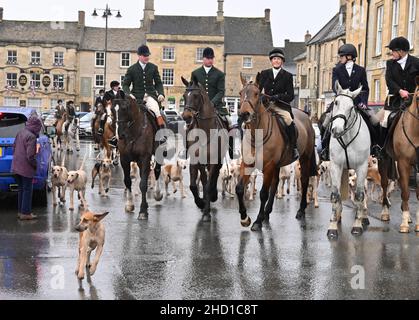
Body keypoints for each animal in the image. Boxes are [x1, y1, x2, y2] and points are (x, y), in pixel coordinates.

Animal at [180, 76, 230, 221]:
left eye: (196, 96)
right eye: (184, 95)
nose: (186, 116)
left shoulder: (213, 161)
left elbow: (207, 185)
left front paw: (207, 211)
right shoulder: (195, 161)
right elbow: (194, 185)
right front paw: (201, 203)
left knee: (213, 178)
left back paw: (213, 196)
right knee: (202, 179)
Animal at [236, 74, 318, 231]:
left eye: (257, 94)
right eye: (240, 93)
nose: (244, 114)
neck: (257, 134)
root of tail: (305, 115)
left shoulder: (268, 166)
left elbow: (263, 193)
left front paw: (257, 221)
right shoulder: (248, 164)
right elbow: (239, 189)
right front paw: (244, 218)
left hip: (305, 158)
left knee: (304, 181)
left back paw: (301, 210)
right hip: (278, 164)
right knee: (275, 185)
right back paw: (267, 214)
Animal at [328, 82, 370, 240]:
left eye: (352, 107)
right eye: (336, 102)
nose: (337, 129)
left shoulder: (362, 167)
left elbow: (359, 195)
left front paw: (357, 225)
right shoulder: (335, 165)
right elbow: (335, 195)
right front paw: (332, 226)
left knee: (363, 192)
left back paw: (363, 216)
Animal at [378, 76, 418, 234]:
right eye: (418, 97)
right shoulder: (403, 162)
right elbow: (406, 192)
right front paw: (404, 224)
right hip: (384, 160)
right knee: (384, 185)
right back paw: (385, 212)